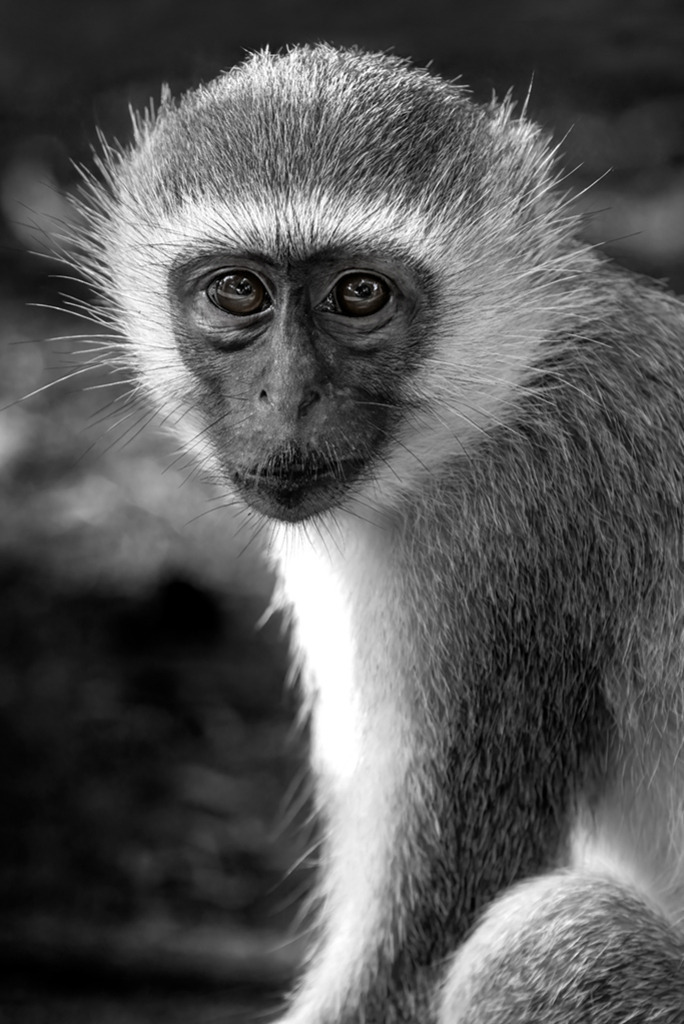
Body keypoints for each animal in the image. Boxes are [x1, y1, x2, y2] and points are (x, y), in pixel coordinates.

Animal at [67, 43, 684, 1023]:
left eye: (359, 294)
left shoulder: (511, 553)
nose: (287, 397)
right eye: (239, 289)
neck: (504, 400)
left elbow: (416, 949)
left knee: (553, 932)